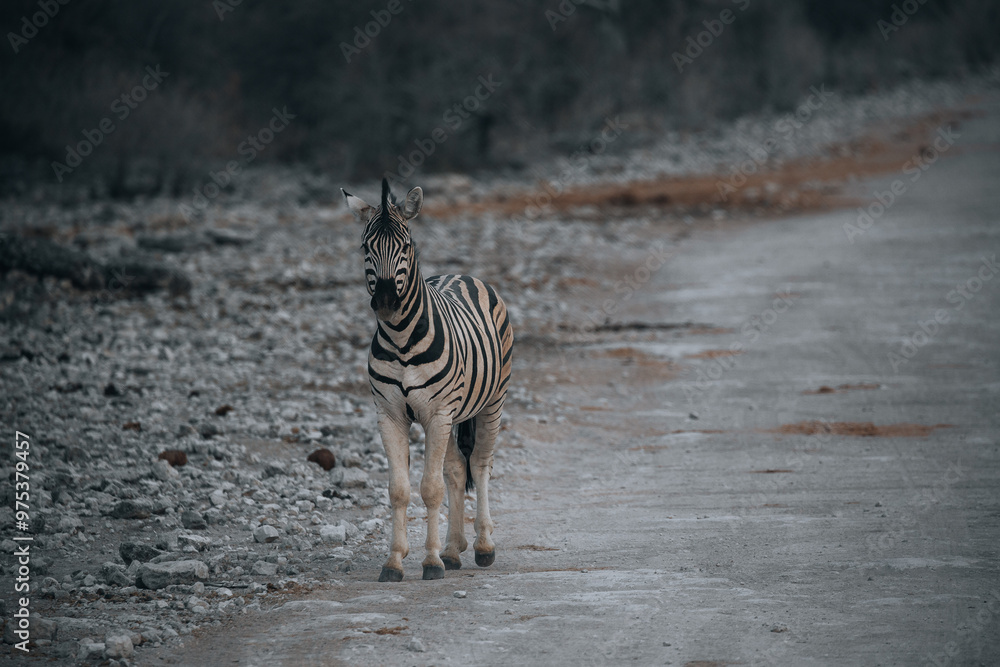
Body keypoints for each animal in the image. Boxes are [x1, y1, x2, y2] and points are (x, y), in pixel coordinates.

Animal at [341, 178, 514, 582]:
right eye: (365, 247)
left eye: (406, 245)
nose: (386, 302)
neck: (402, 339)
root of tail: (463, 274)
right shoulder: (390, 416)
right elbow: (400, 489)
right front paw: (395, 561)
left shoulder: (437, 414)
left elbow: (431, 488)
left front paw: (431, 561)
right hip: (453, 416)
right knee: (455, 470)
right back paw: (453, 549)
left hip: (491, 403)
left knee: (480, 464)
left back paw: (483, 546)